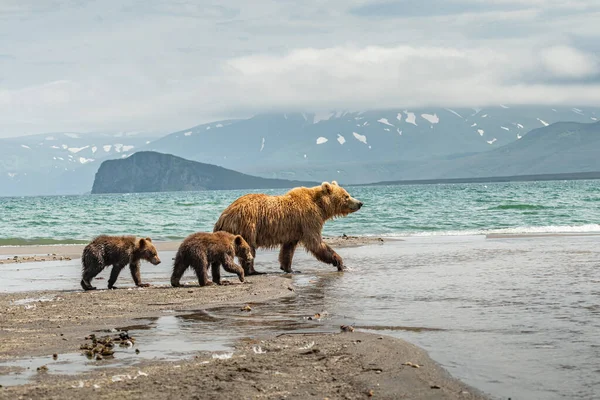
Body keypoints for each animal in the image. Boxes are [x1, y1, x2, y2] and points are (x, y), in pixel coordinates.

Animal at [213, 182, 364, 274]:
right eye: (346, 196)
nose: (360, 203)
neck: (321, 206)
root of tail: (223, 216)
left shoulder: (294, 230)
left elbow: (288, 249)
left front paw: (289, 268)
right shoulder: (309, 219)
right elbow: (315, 243)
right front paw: (340, 262)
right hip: (247, 225)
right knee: (248, 247)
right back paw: (253, 271)